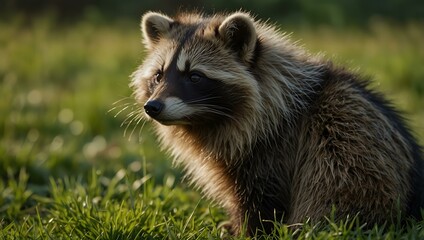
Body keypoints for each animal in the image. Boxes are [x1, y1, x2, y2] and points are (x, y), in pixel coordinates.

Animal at [130, 11, 424, 234]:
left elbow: (262, 203)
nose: (152, 106)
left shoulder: (276, 148)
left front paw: (247, 232)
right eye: (158, 75)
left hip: (355, 162)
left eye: (194, 76)